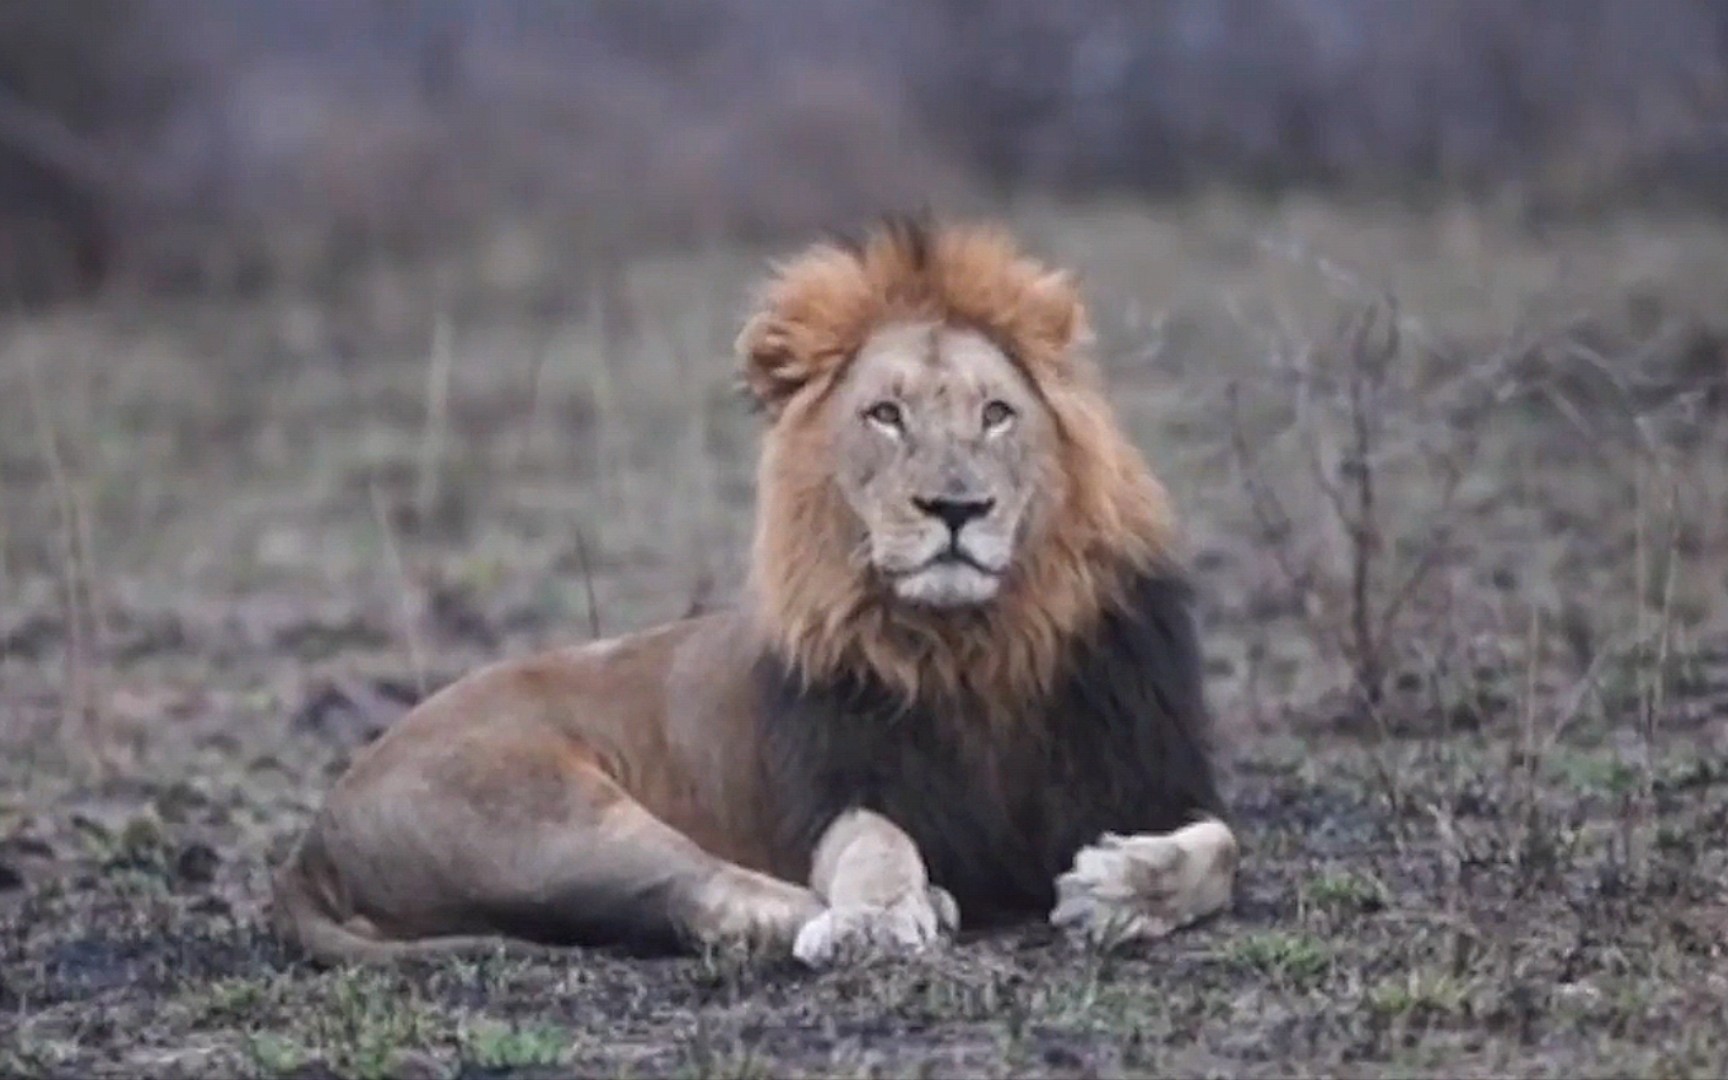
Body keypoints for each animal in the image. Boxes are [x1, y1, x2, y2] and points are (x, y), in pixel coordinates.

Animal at [269, 215, 1237, 967]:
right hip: (546, 815)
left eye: (996, 413)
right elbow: (875, 846)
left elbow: (1222, 851)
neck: (978, 645)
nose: (956, 507)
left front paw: (1123, 888)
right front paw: (877, 917)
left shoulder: (1154, 775)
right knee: (699, 896)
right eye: (886, 415)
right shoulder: (840, 787)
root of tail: (312, 842)